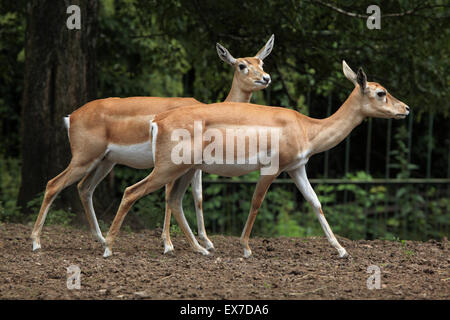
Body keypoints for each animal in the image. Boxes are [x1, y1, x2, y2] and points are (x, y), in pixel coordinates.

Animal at [30, 35, 274, 255]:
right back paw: (36, 242)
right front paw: (168, 245)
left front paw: (207, 242)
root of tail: (71, 117)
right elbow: (169, 196)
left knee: (84, 188)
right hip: (84, 158)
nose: (266, 78)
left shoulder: (195, 167)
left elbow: (198, 197)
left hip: (105, 162)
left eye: (261, 62)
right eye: (242, 65)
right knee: (53, 184)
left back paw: (101, 239)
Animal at [103, 60, 412, 258]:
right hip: (168, 168)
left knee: (174, 200)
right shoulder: (271, 169)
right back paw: (108, 248)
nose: (406, 109)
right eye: (381, 92)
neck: (307, 128)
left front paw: (341, 249)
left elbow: (316, 203)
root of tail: (157, 121)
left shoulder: (297, 168)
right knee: (132, 191)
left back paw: (201, 249)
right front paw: (246, 248)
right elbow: (256, 202)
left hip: (185, 170)